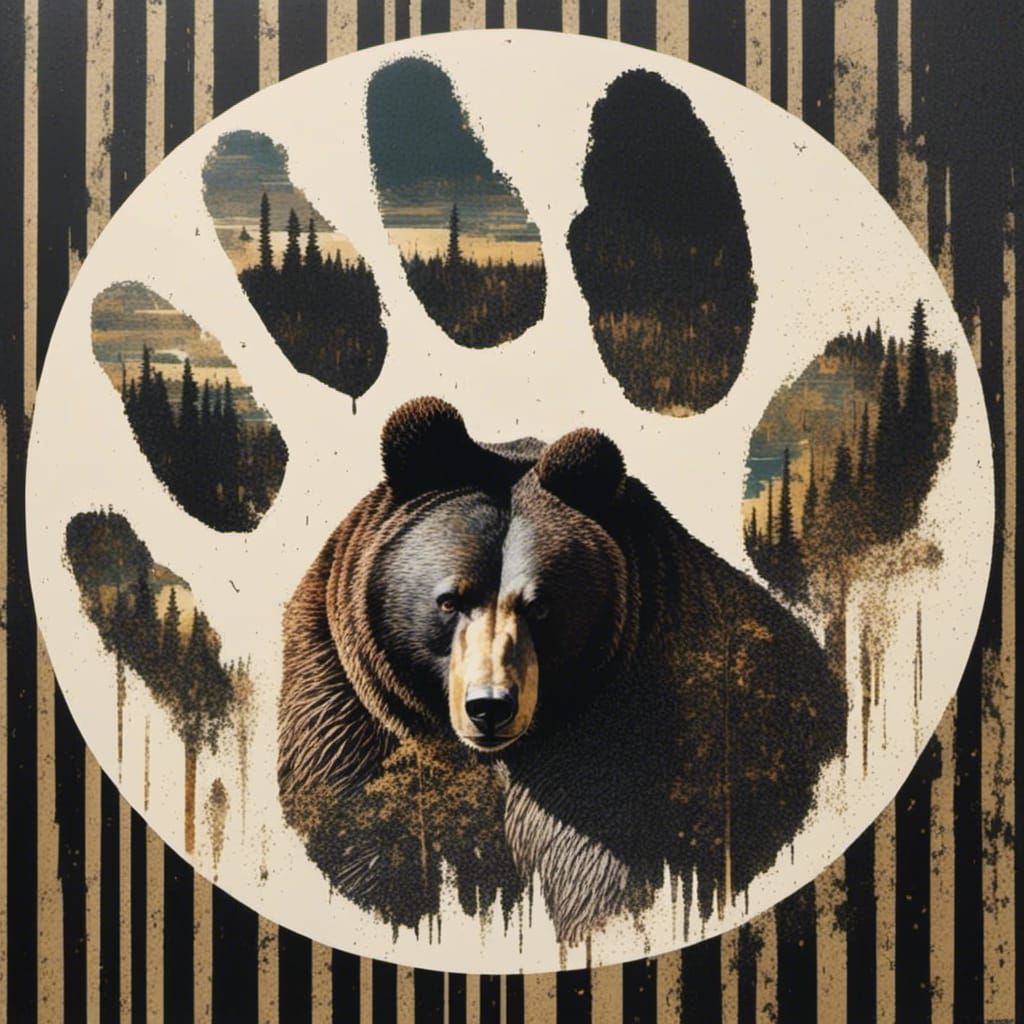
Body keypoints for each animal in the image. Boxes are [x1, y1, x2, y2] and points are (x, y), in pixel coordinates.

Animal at [278, 396, 847, 943]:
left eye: (541, 605)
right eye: (450, 600)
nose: (489, 708)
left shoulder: (630, 746)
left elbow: (597, 870)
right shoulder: (353, 714)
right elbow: (364, 846)